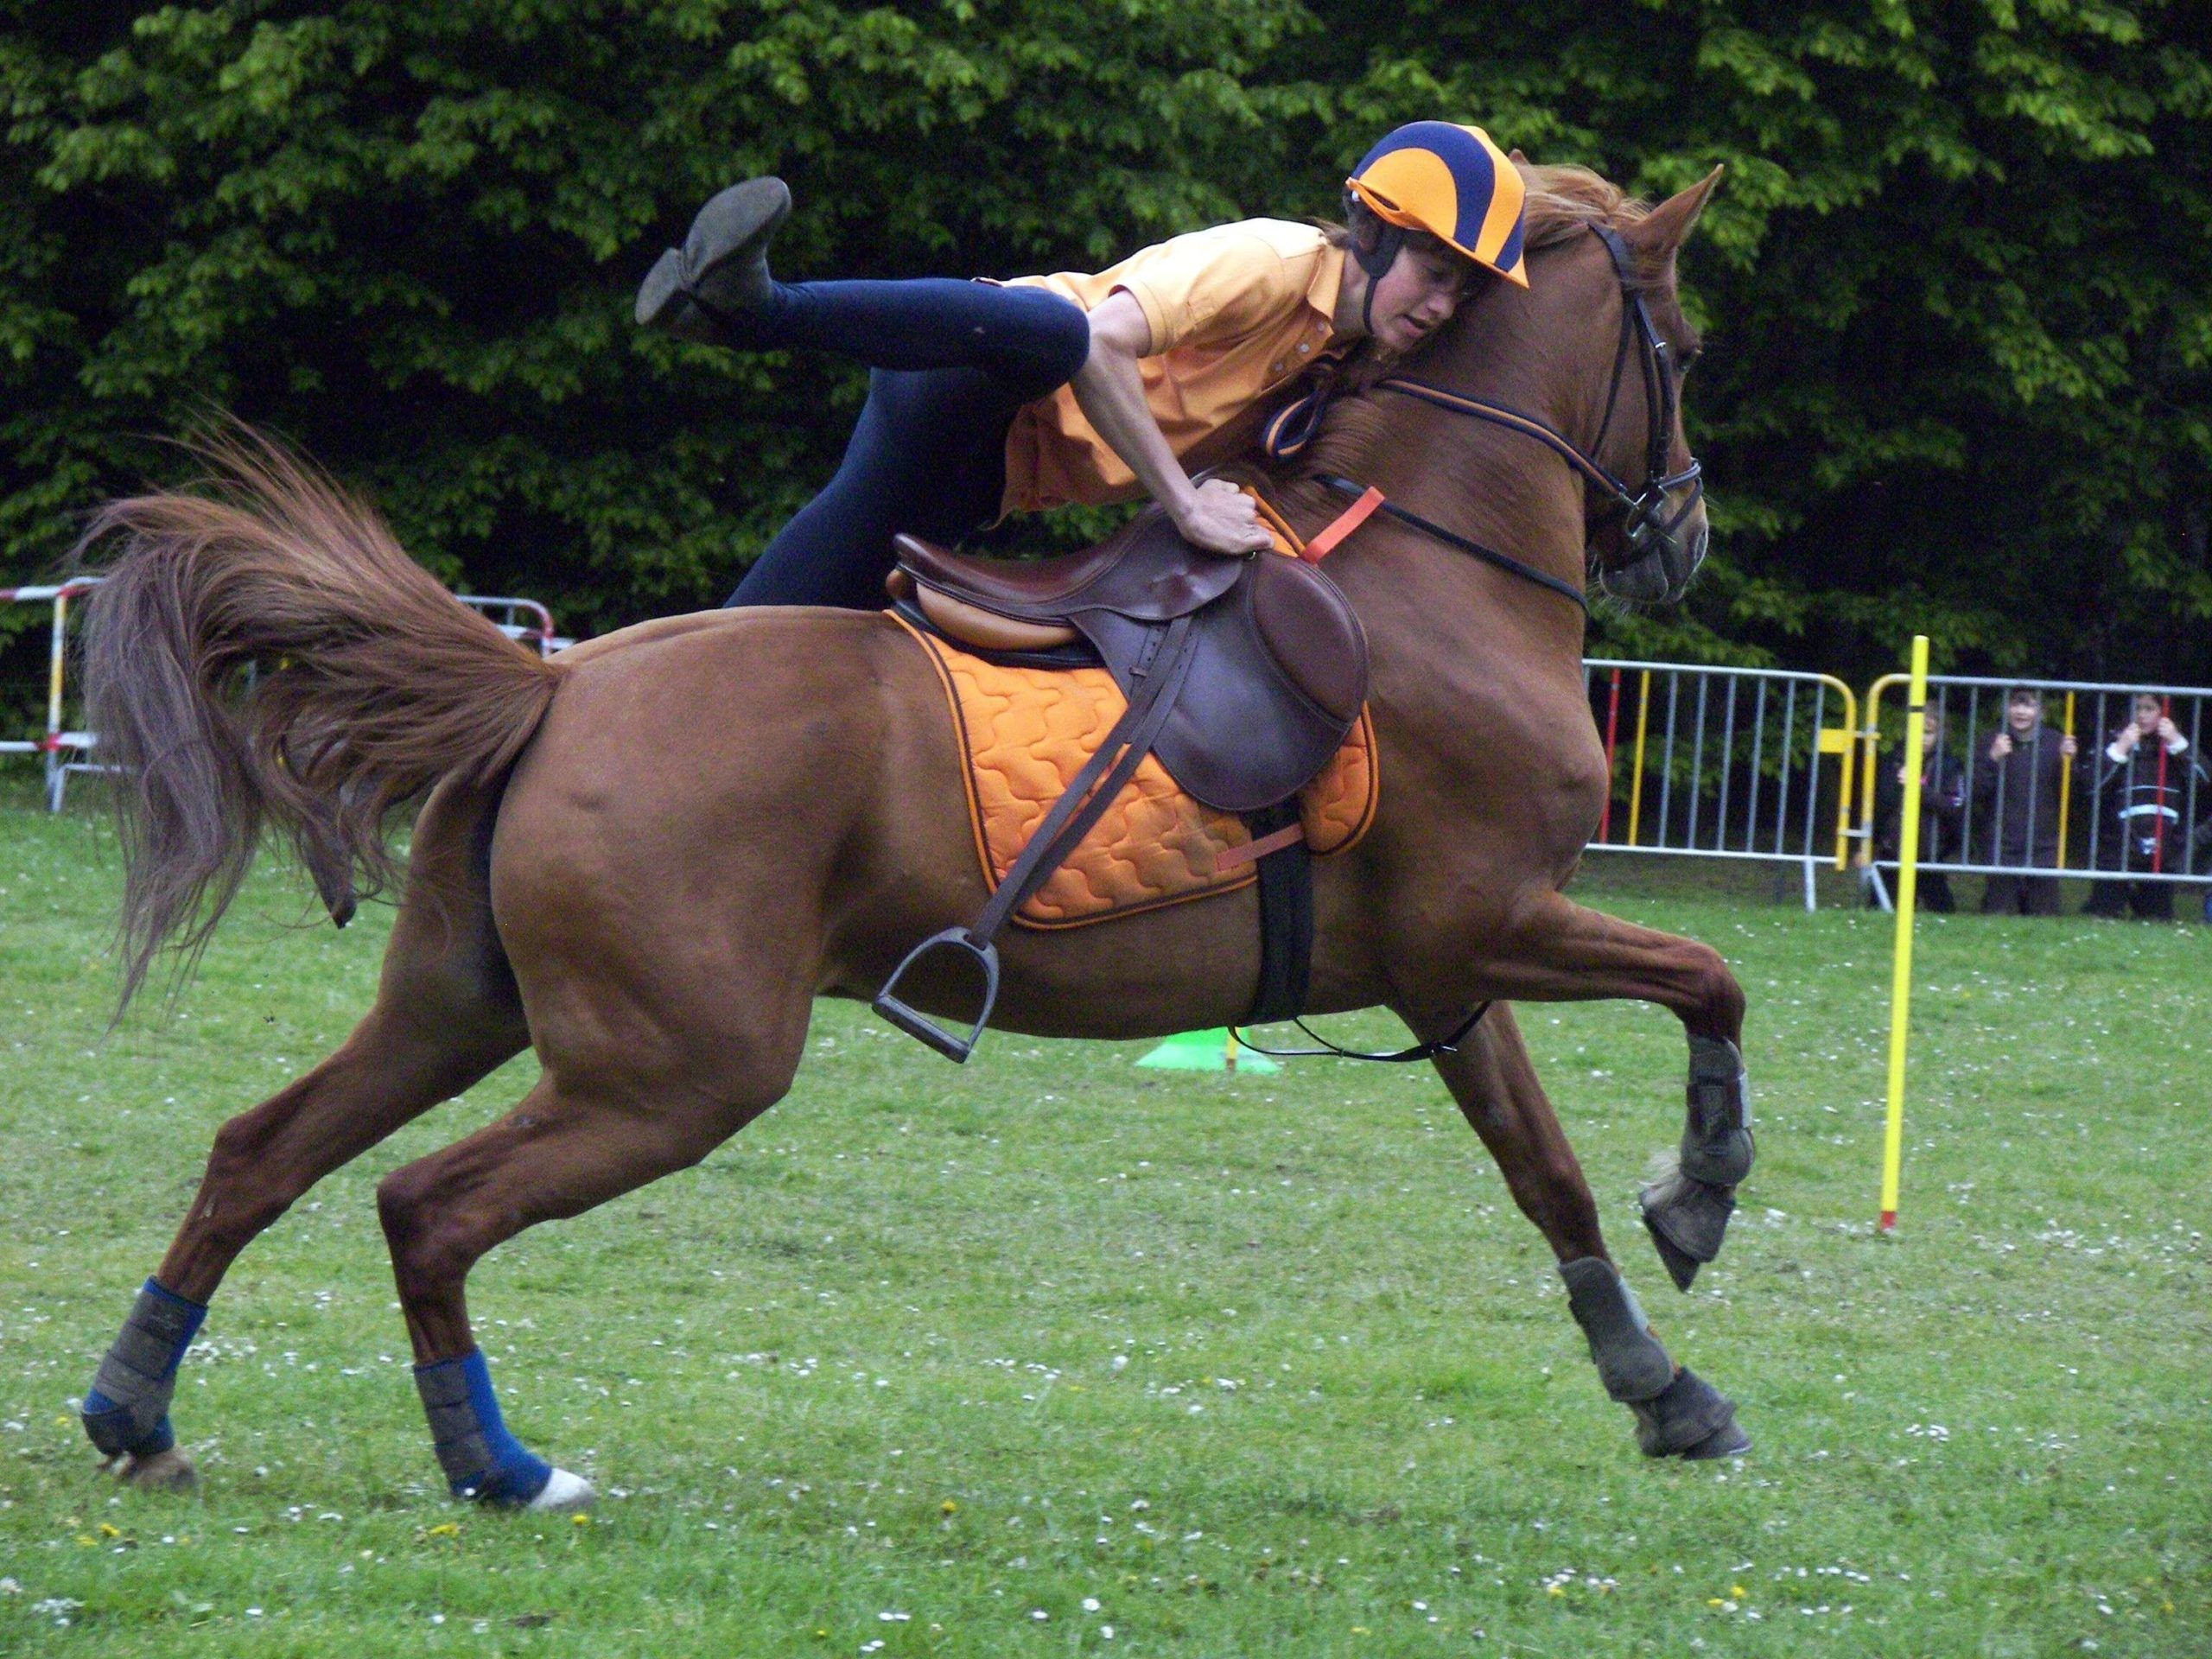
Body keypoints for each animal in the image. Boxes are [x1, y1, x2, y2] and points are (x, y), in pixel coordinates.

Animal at [72, 163, 1754, 1509]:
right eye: (1678, 353)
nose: (1679, 534)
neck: (1425, 563)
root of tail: (554, 686)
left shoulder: (1443, 966)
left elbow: (1545, 1170)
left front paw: (1663, 1388)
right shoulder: (1494, 921)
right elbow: (1708, 980)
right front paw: (1706, 1184)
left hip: (460, 1004)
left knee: (258, 1153)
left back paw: (138, 1407)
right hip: (676, 1069)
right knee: (427, 1209)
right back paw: (495, 1463)